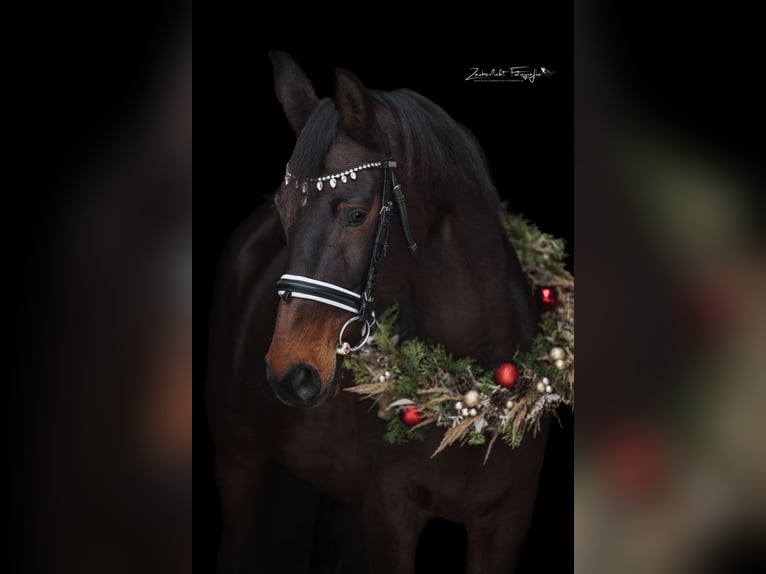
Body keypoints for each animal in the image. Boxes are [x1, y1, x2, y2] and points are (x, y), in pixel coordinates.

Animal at [207, 50, 551, 574]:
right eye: (283, 211)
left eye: (355, 214)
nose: (289, 374)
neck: (469, 398)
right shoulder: (390, 513)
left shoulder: (507, 521)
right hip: (239, 456)